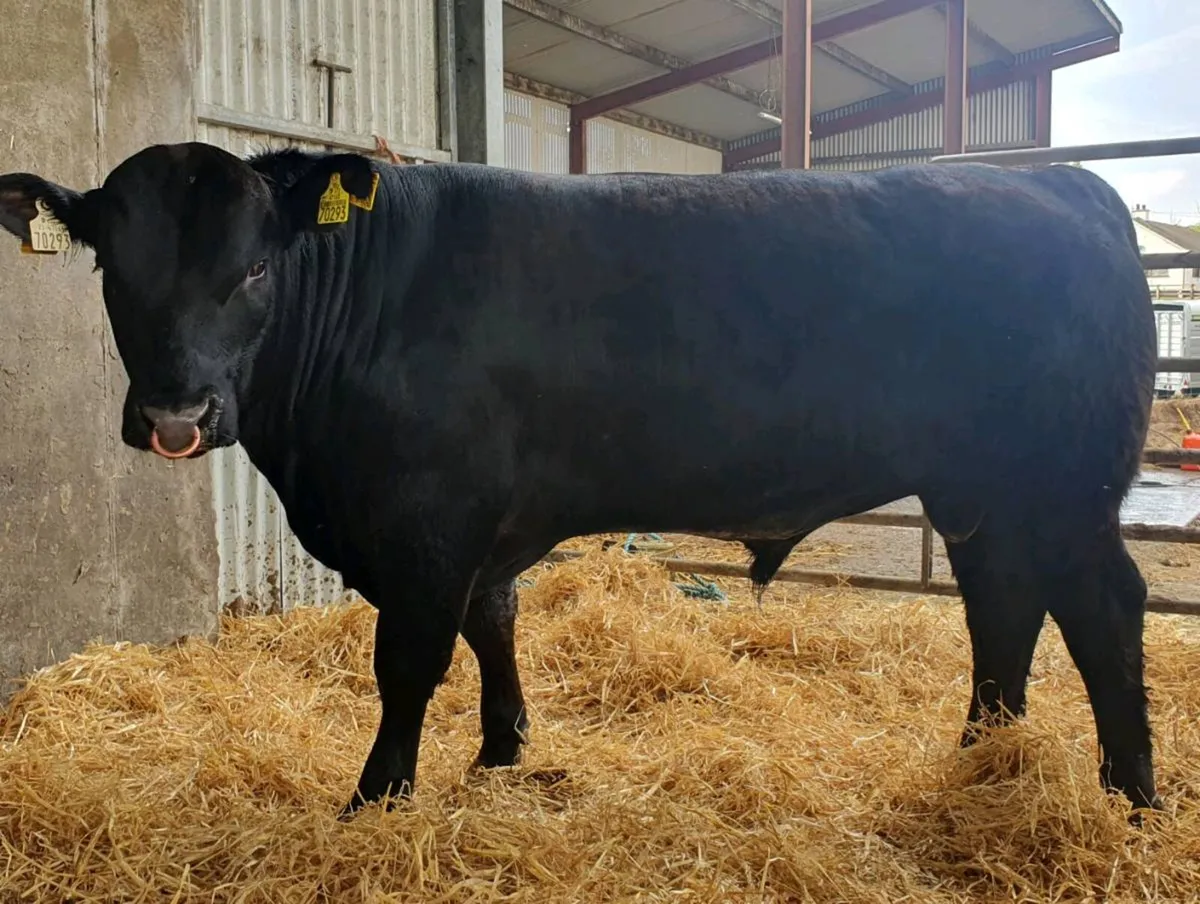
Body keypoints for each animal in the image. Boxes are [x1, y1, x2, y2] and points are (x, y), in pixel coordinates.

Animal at [0, 142, 1162, 818]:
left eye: (252, 268)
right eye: (114, 270)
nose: (175, 417)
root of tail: (1057, 178)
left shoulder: (425, 523)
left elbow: (409, 662)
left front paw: (376, 800)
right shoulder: (476, 525)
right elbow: (494, 621)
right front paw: (502, 749)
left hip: (1067, 491)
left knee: (1101, 611)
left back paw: (1131, 796)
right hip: (985, 493)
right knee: (1003, 607)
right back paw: (982, 755)